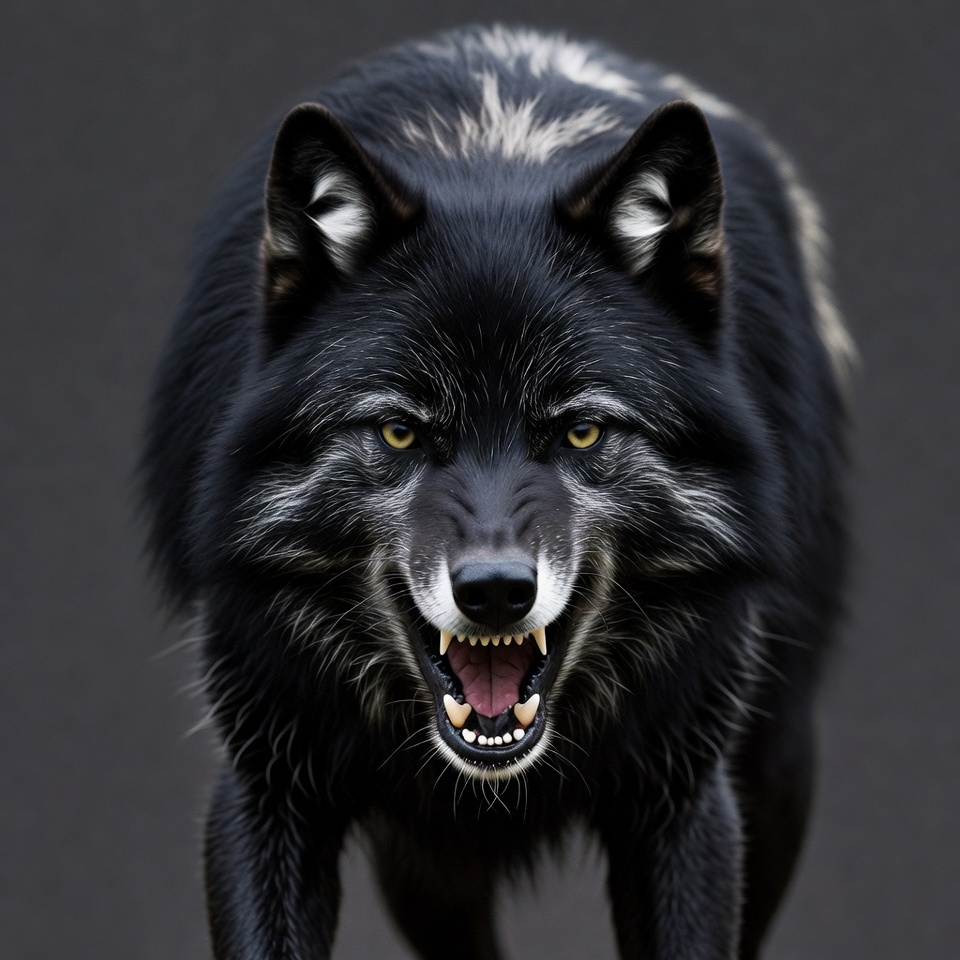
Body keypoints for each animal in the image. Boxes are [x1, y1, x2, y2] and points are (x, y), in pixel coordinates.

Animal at [142, 25, 852, 960]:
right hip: (428, 866)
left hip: (775, 772)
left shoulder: (684, 804)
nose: (494, 594)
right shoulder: (265, 790)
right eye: (400, 432)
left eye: (581, 432)